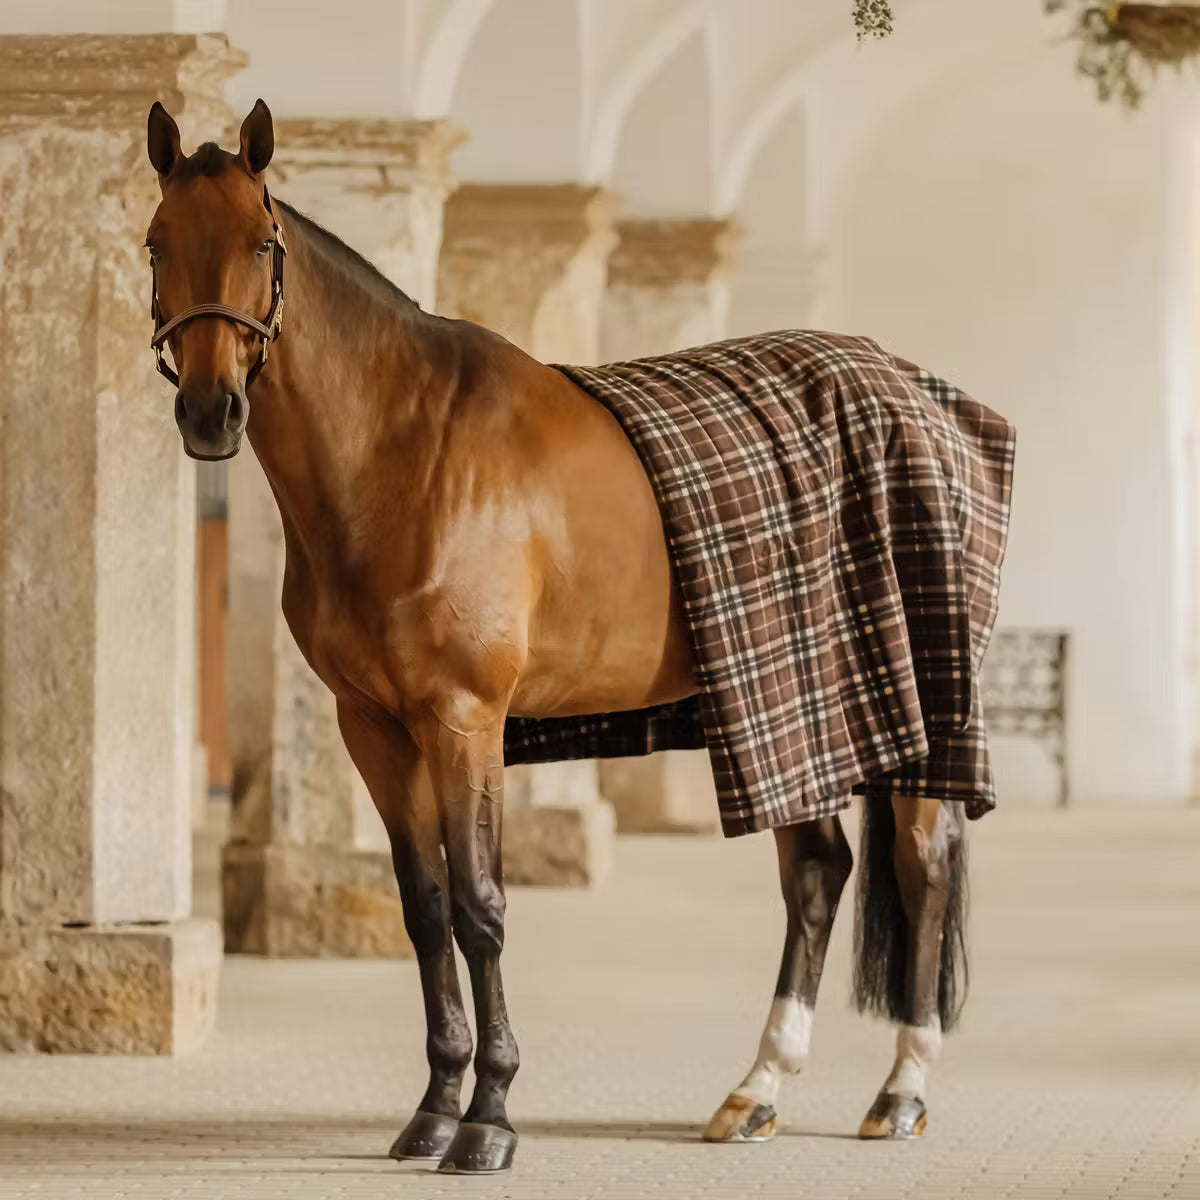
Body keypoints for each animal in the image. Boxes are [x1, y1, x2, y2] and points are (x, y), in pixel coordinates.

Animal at [144, 98, 976, 1174]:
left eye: (261, 240)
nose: (211, 411)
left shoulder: (465, 721)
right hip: (789, 711)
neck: (404, 456)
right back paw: (754, 1092)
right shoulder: (373, 728)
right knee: (817, 874)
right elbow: (424, 909)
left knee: (923, 868)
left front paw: (490, 1117)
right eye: (158, 242)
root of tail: (918, 395)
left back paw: (900, 1091)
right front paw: (433, 1109)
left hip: (909, 717)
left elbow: (481, 907)